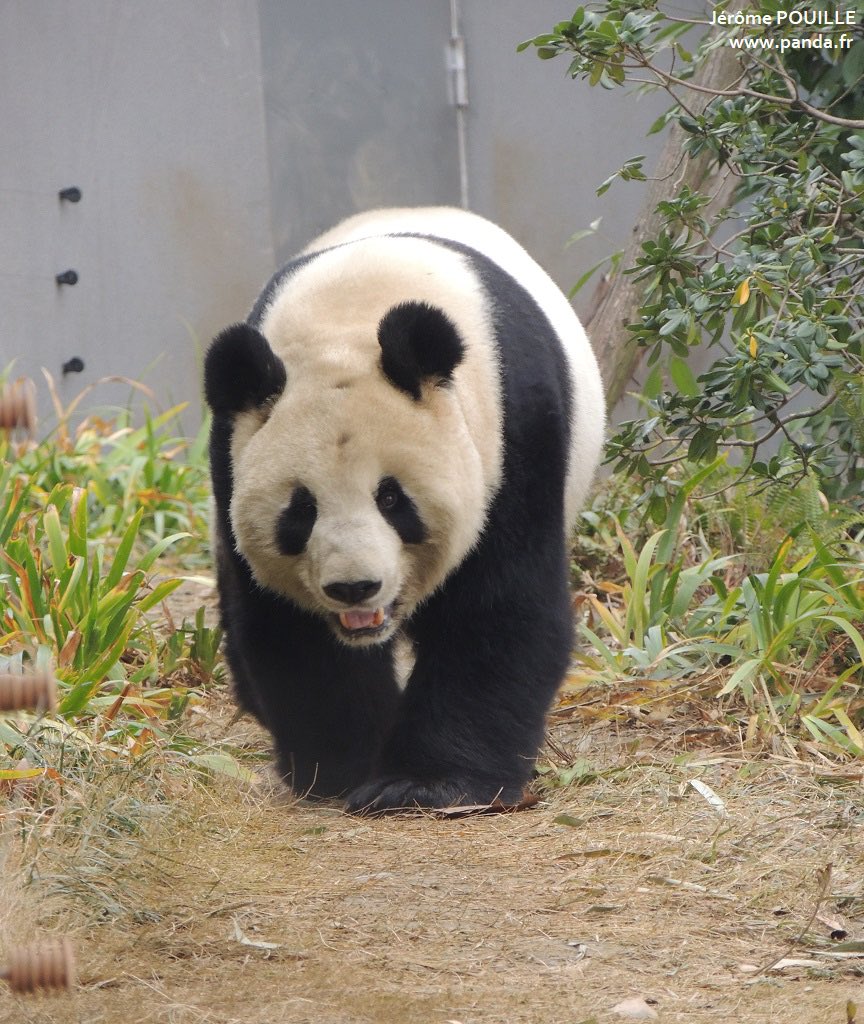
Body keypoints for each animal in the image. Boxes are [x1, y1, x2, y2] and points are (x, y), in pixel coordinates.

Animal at [204, 207, 605, 814]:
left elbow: (496, 610)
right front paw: (343, 767)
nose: (355, 588)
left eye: (391, 499)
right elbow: (288, 627)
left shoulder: (514, 436)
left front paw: (427, 783)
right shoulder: (232, 454)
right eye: (301, 510)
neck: (349, 316)